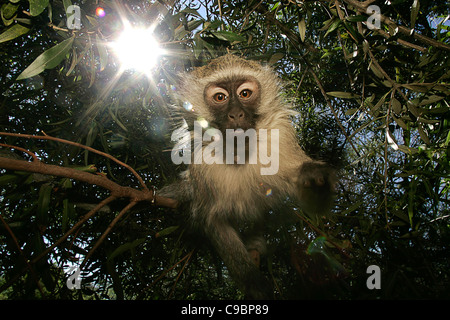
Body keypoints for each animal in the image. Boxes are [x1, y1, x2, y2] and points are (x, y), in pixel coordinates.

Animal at [160, 54, 336, 298]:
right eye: (220, 97)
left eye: (245, 94)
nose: (236, 114)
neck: (239, 152)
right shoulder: (204, 168)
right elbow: (214, 221)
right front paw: (254, 282)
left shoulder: (281, 138)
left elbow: (314, 207)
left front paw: (316, 181)